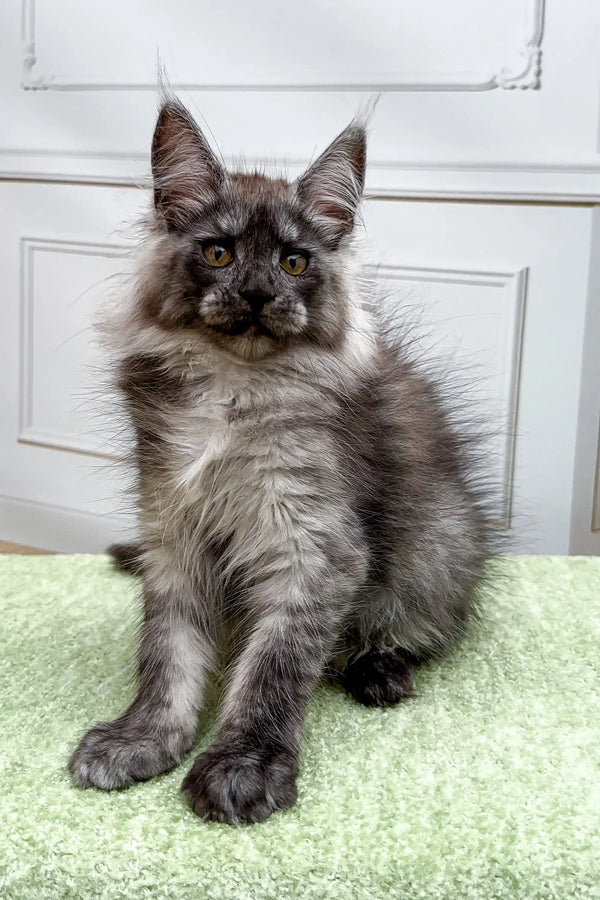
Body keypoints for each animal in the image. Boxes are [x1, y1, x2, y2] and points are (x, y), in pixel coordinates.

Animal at [69, 98, 492, 824]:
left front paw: (243, 764)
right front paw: (142, 738)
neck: (233, 390)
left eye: (294, 262)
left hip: (438, 549)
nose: (260, 293)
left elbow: (275, 666)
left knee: (412, 632)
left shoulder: (314, 546)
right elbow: (167, 655)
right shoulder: (171, 533)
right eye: (219, 252)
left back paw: (380, 671)